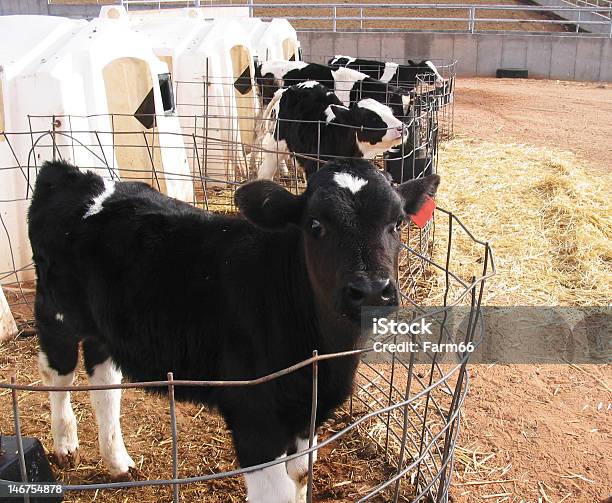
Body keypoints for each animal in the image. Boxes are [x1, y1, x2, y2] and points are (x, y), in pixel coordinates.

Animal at [29, 159, 440, 502]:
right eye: (315, 225)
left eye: (397, 222)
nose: (371, 290)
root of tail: (68, 174)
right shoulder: (254, 419)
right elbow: (277, 493)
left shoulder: (305, 416)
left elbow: (300, 476)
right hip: (56, 313)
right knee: (58, 374)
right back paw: (65, 444)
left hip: (105, 327)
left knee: (105, 383)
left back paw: (117, 461)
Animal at [256, 83, 406, 182]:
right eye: (372, 118)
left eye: (390, 112)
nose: (402, 128)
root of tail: (288, 88)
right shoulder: (313, 168)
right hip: (278, 141)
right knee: (265, 171)